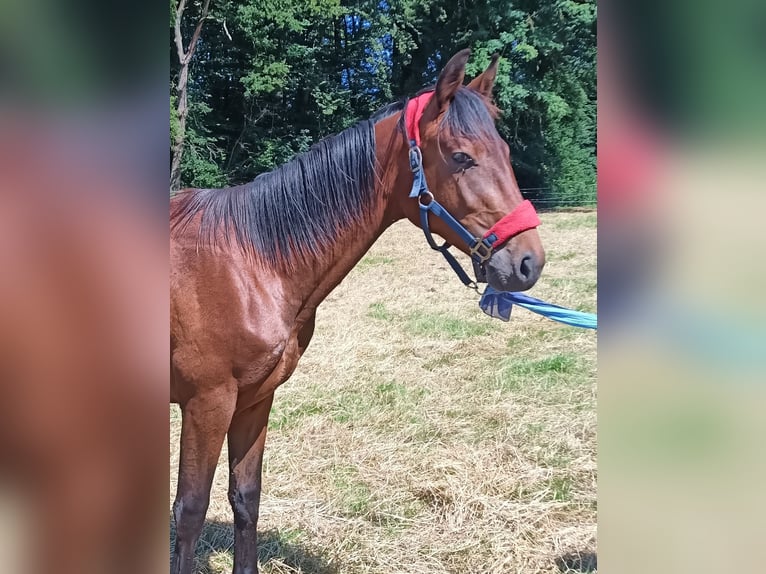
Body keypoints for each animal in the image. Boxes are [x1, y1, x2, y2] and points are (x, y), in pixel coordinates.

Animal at [172, 50, 544, 574]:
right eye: (461, 157)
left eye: (507, 153)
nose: (528, 262)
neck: (250, 261)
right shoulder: (206, 403)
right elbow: (190, 512)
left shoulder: (254, 400)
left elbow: (246, 498)